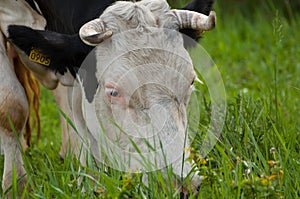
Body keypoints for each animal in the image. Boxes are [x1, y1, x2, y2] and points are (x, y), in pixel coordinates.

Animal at [0, 0, 216, 196]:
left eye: (190, 82)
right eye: (113, 92)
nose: (179, 183)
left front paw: (89, 181)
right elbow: (12, 106)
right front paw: (16, 187)